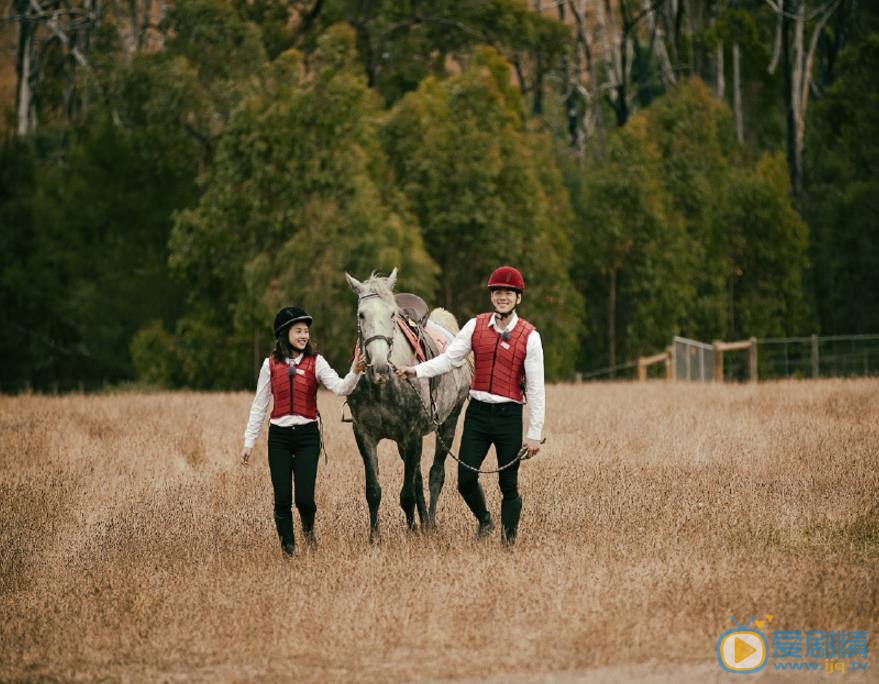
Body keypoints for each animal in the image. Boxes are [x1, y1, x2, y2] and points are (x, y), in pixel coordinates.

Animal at [344, 268, 470, 540]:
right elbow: (374, 490)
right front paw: (375, 537)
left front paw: (412, 533)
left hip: (449, 423)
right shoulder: (365, 435)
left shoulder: (412, 435)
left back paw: (430, 523)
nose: (380, 367)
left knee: (435, 475)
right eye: (361, 315)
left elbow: (407, 493)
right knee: (418, 479)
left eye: (392, 314)